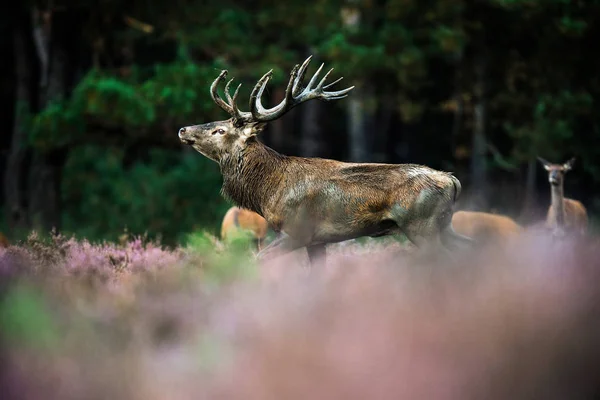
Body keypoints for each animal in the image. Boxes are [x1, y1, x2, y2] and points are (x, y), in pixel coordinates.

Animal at [178, 54, 474, 266]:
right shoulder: (316, 241)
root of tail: (453, 181)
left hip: (421, 225)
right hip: (443, 225)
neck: (268, 191)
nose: (183, 129)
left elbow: (257, 260)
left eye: (220, 130)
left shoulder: (296, 232)